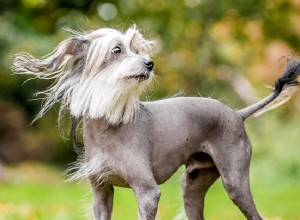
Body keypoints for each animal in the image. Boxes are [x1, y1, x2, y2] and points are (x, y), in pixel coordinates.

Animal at [10, 26, 298, 220]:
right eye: (117, 50)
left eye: (138, 50)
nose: (150, 63)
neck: (110, 126)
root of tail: (237, 113)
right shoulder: (101, 193)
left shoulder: (147, 193)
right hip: (192, 186)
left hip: (235, 183)